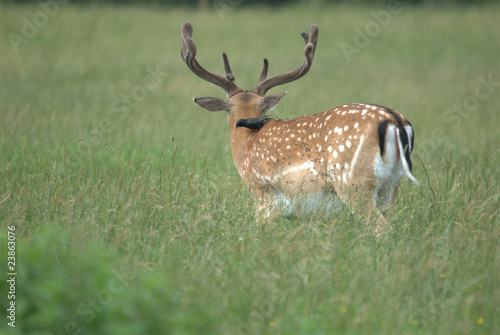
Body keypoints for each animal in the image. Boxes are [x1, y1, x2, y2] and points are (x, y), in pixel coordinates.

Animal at [180, 22, 418, 235]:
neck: (247, 145)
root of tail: (395, 121)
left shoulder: (262, 194)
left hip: (354, 182)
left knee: (382, 228)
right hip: (391, 185)